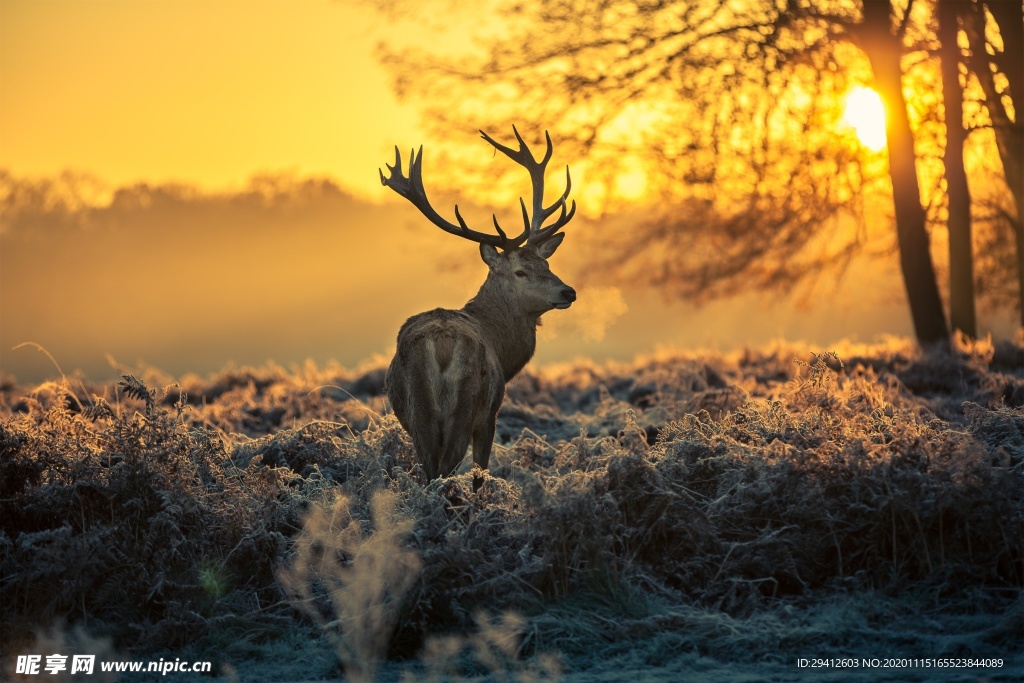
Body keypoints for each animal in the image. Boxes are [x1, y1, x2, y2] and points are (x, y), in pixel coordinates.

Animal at [382, 127, 581, 489]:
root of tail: (441, 344)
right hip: (466, 406)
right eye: (520, 271)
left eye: (546, 263)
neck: (502, 348)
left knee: (429, 470)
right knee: (446, 468)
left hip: (418, 413)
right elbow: (480, 472)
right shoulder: (491, 413)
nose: (568, 291)